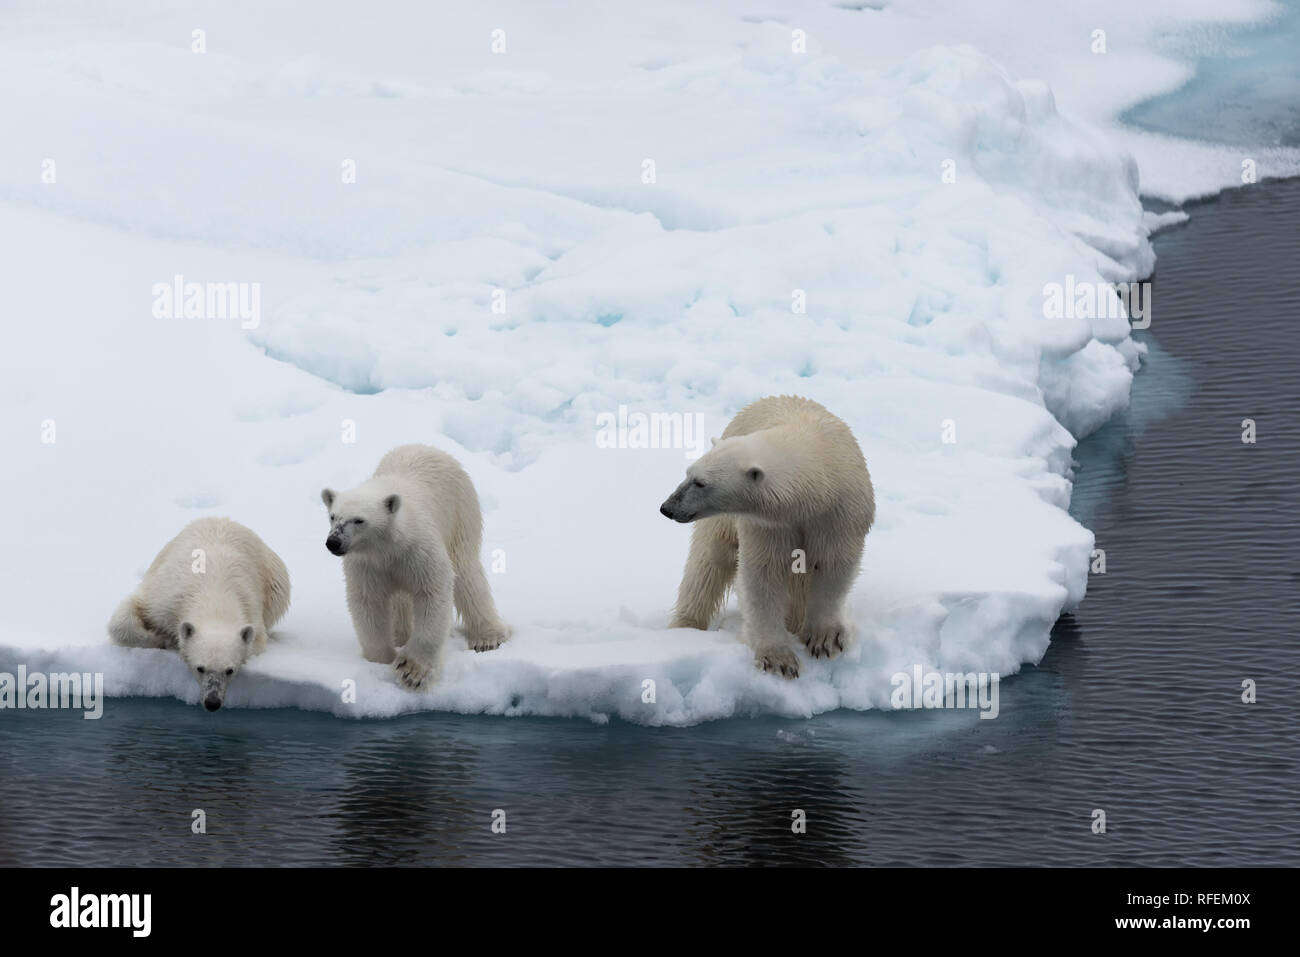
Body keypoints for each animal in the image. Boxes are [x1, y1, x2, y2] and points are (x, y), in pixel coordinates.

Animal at [108, 516, 291, 711]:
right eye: (200, 668)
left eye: (229, 670)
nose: (212, 702)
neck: (215, 596)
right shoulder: (165, 598)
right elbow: (125, 618)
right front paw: (163, 639)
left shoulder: (251, 609)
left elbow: (255, 644)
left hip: (274, 581)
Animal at [321, 443, 510, 690]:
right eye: (333, 516)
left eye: (359, 520)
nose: (333, 542)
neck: (388, 546)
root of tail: (429, 447)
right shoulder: (368, 564)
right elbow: (368, 602)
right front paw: (382, 659)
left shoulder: (418, 550)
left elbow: (433, 592)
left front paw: (412, 671)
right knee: (401, 600)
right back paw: (401, 635)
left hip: (460, 512)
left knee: (466, 572)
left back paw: (487, 637)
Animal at [659, 395, 874, 679]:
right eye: (688, 473)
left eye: (701, 482)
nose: (667, 507)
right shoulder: (767, 525)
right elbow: (763, 575)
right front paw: (778, 659)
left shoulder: (838, 516)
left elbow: (833, 566)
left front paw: (824, 639)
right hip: (723, 523)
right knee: (707, 563)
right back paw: (685, 628)